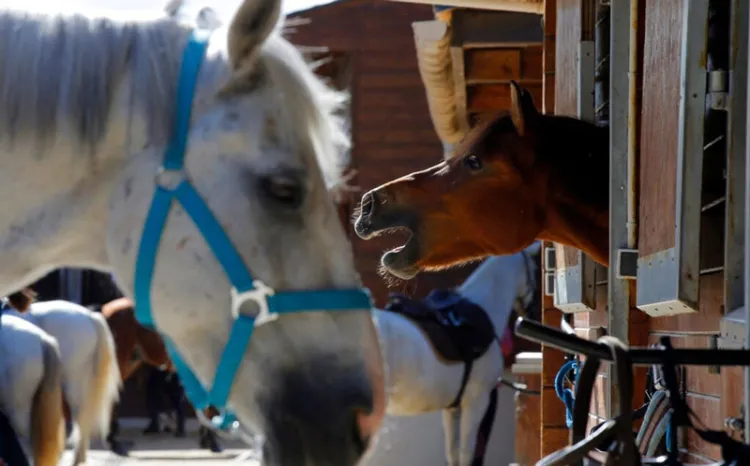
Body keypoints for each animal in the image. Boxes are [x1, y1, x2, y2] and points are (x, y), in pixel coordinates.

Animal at [376, 242, 540, 464]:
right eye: (535, 268)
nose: (533, 313)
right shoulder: (477, 401)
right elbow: (467, 453)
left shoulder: (452, 408)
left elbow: (453, 453)